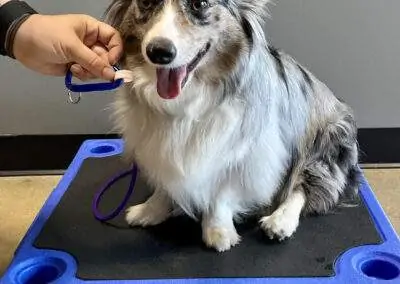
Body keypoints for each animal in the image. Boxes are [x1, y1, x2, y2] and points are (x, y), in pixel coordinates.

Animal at [103, 0, 360, 253]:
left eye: (199, 5)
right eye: (146, 3)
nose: (159, 52)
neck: (186, 101)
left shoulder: (244, 153)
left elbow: (223, 193)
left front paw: (218, 232)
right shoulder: (158, 149)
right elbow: (166, 185)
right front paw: (150, 210)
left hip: (327, 145)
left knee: (307, 187)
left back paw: (280, 221)